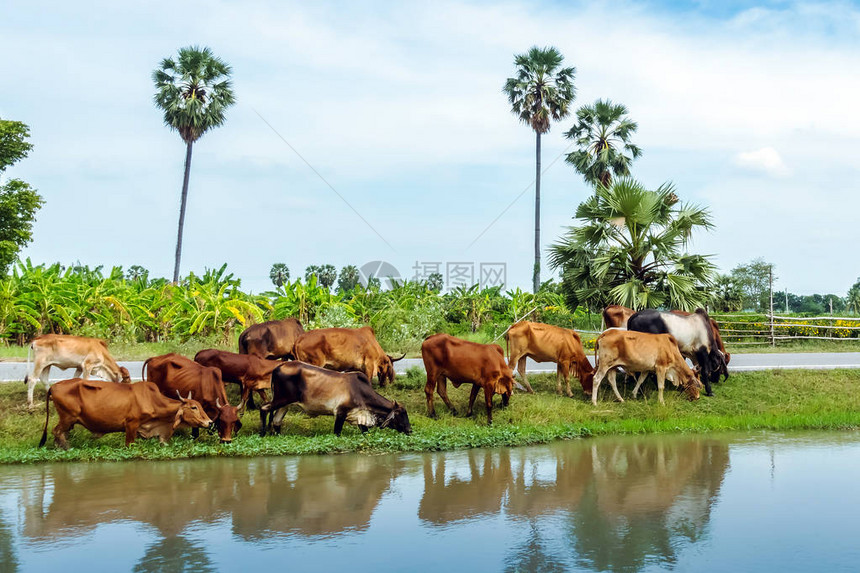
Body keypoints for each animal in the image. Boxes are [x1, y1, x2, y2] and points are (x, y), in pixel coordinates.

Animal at [37, 378, 213, 450]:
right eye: (193, 407)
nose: (210, 422)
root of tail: (53, 386)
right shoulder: (131, 425)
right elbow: (129, 445)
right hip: (67, 418)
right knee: (56, 431)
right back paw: (65, 449)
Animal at [256, 360, 412, 436]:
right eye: (401, 414)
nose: (410, 430)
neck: (361, 393)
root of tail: (278, 367)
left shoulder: (360, 416)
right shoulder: (340, 413)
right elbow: (337, 432)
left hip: (285, 404)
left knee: (276, 421)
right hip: (281, 399)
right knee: (263, 408)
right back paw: (262, 433)